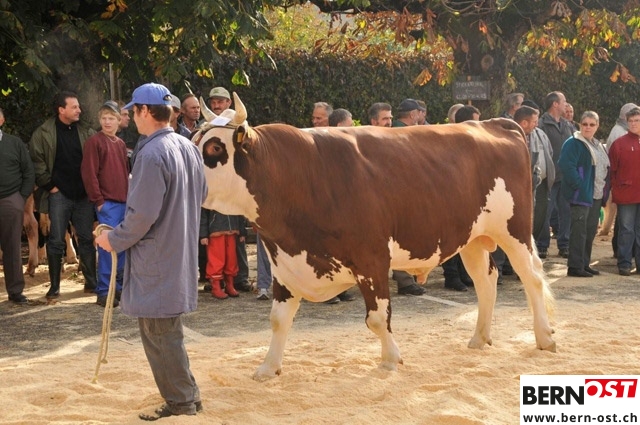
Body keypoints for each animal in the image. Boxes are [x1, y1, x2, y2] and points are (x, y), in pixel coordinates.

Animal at [192, 94, 556, 382]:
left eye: (214, 147)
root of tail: (496, 123)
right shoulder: (285, 263)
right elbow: (278, 320)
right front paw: (268, 368)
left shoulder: (372, 258)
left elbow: (378, 319)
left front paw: (390, 360)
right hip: (473, 237)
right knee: (486, 280)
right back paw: (480, 337)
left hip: (514, 230)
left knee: (532, 278)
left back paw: (545, 339)